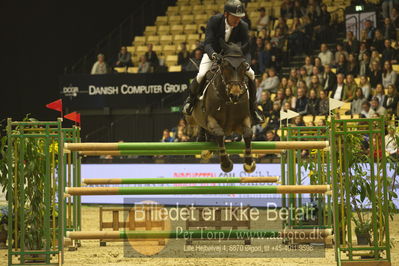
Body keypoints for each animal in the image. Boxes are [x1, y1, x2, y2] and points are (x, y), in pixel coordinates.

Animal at [185, 41, 255, 174]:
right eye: (225, 65)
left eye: (244, 67)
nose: (235, 94)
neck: (228, 100)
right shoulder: (211, 120)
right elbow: (219, 133)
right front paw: (226, 164)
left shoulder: (243, 120)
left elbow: (248, 133)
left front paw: (249, 163)